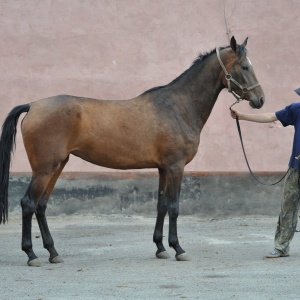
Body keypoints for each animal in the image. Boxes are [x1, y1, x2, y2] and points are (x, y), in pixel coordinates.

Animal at [0, 35, 264, 268]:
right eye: (244, 66)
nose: (260, 99)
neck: (178, 106)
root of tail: (33, 105)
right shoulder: (176, 167)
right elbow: (174, 207)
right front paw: (178, 249)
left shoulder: (163, 169)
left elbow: (161, 205)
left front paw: (160, 248)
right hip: (44, 169)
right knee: (28, 204)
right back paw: (31, 254)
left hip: (57, 166)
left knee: (41, 206)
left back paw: (53, 252)